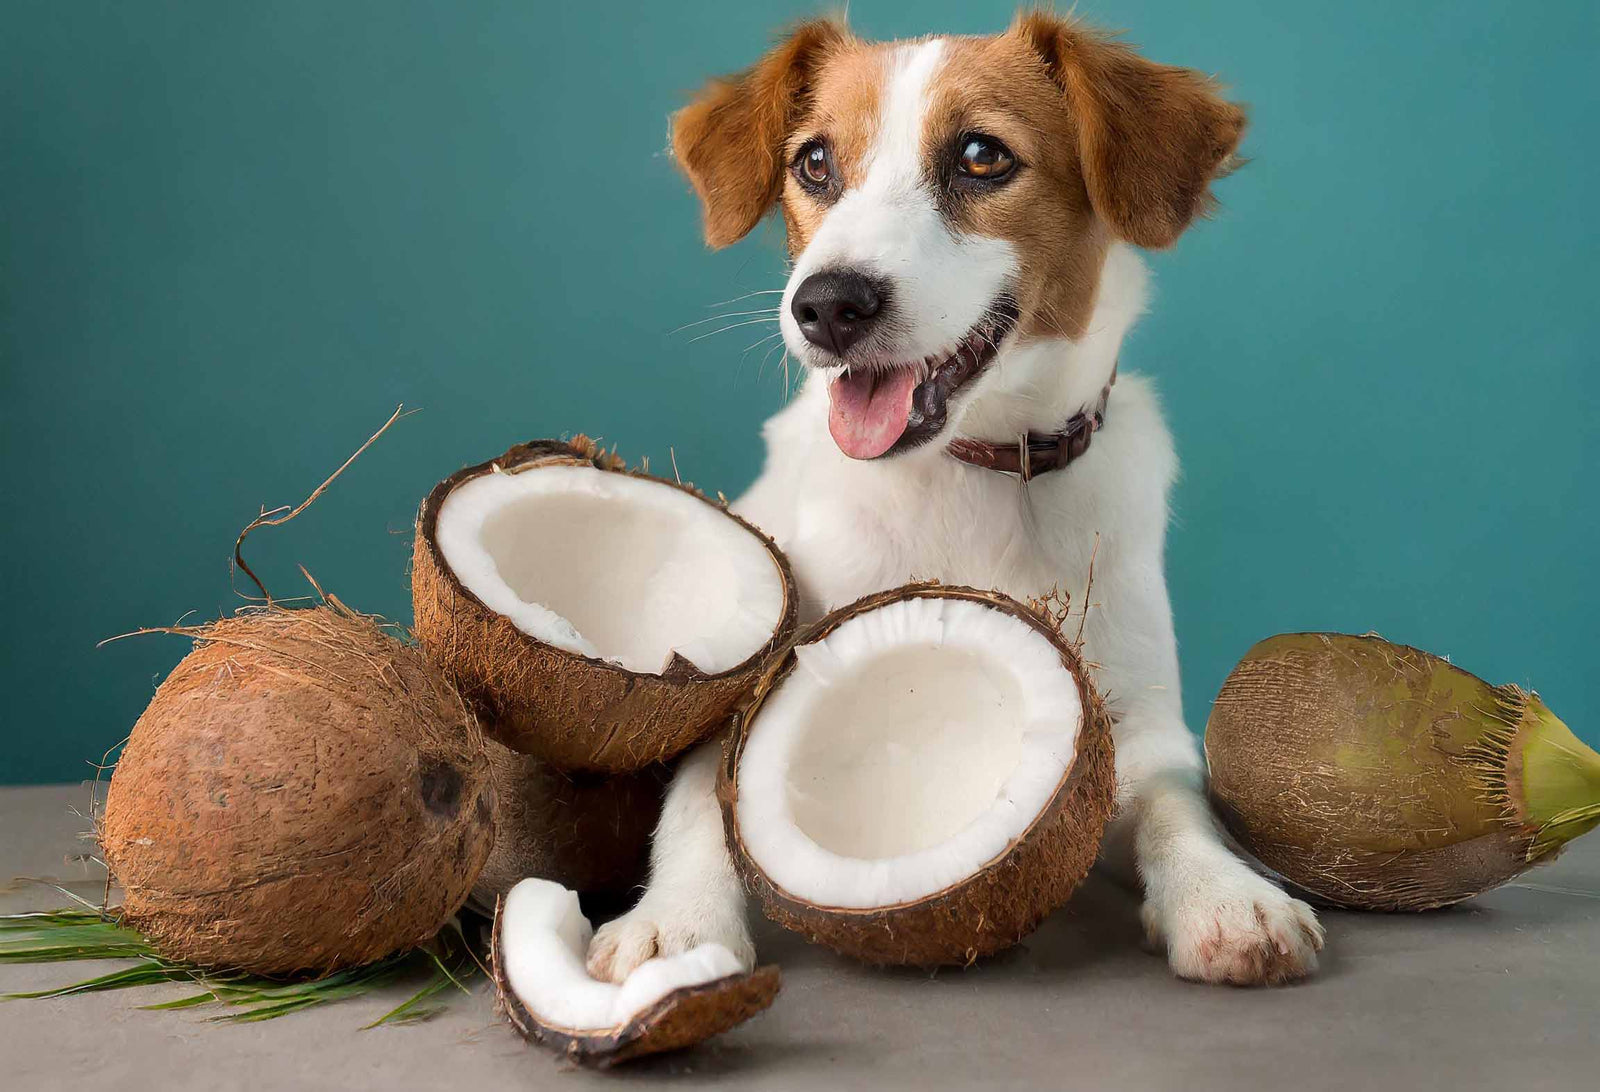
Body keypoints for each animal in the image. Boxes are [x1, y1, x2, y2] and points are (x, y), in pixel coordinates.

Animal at [588, 8, 1324, 979]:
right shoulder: (742, 698)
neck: (971, 474)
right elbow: (696, 807)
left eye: (981, 156)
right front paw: (675, 921)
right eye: (813, 162)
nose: (827, 305)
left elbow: (1175, 801)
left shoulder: (1141, 722)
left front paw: (1224, 893)